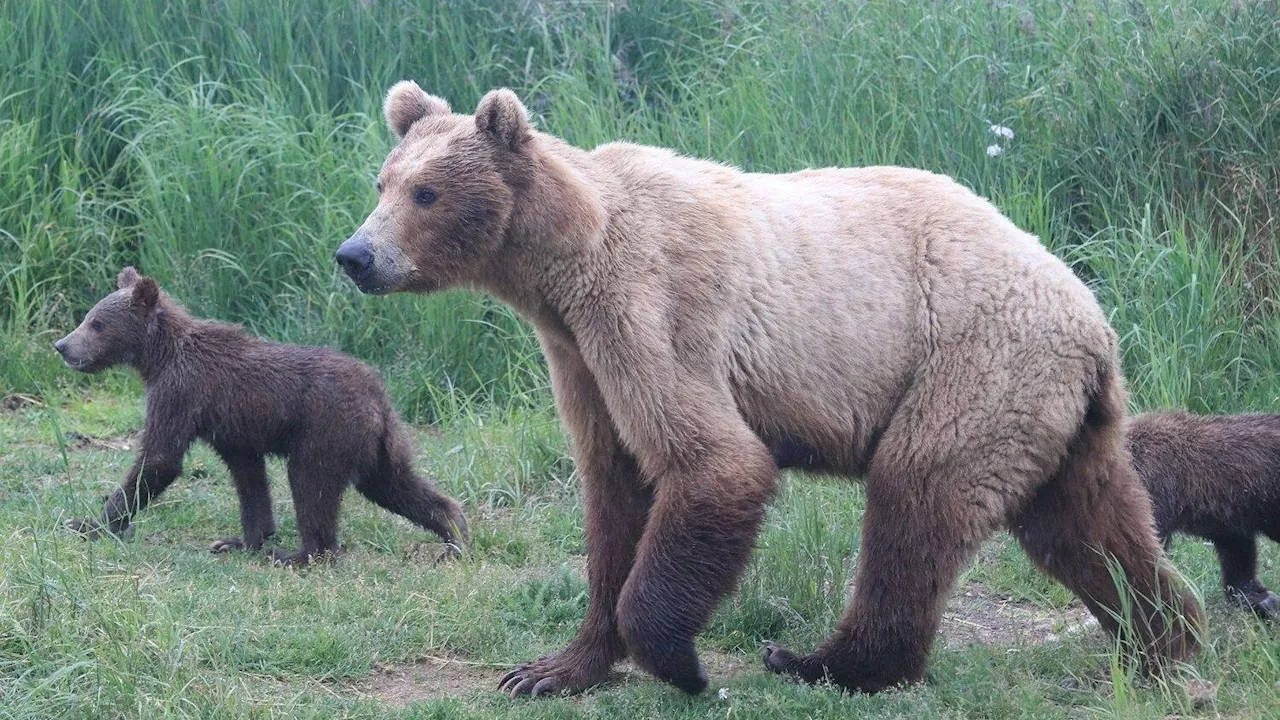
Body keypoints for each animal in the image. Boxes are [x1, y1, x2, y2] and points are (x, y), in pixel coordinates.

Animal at [332, 83, 1198, 696]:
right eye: (382, 181)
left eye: (426, 193)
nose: (355, 255)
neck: (565, 263)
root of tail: (1091, 316)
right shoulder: (579, 355)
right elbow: (613, 489)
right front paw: (552, 667)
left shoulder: (651, 310)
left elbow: (713, 462)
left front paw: (679, 662)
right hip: (1048, 407)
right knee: (1086, 524)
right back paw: (1167, 637)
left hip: (973, 364)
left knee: (917, 498)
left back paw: (824, 661)